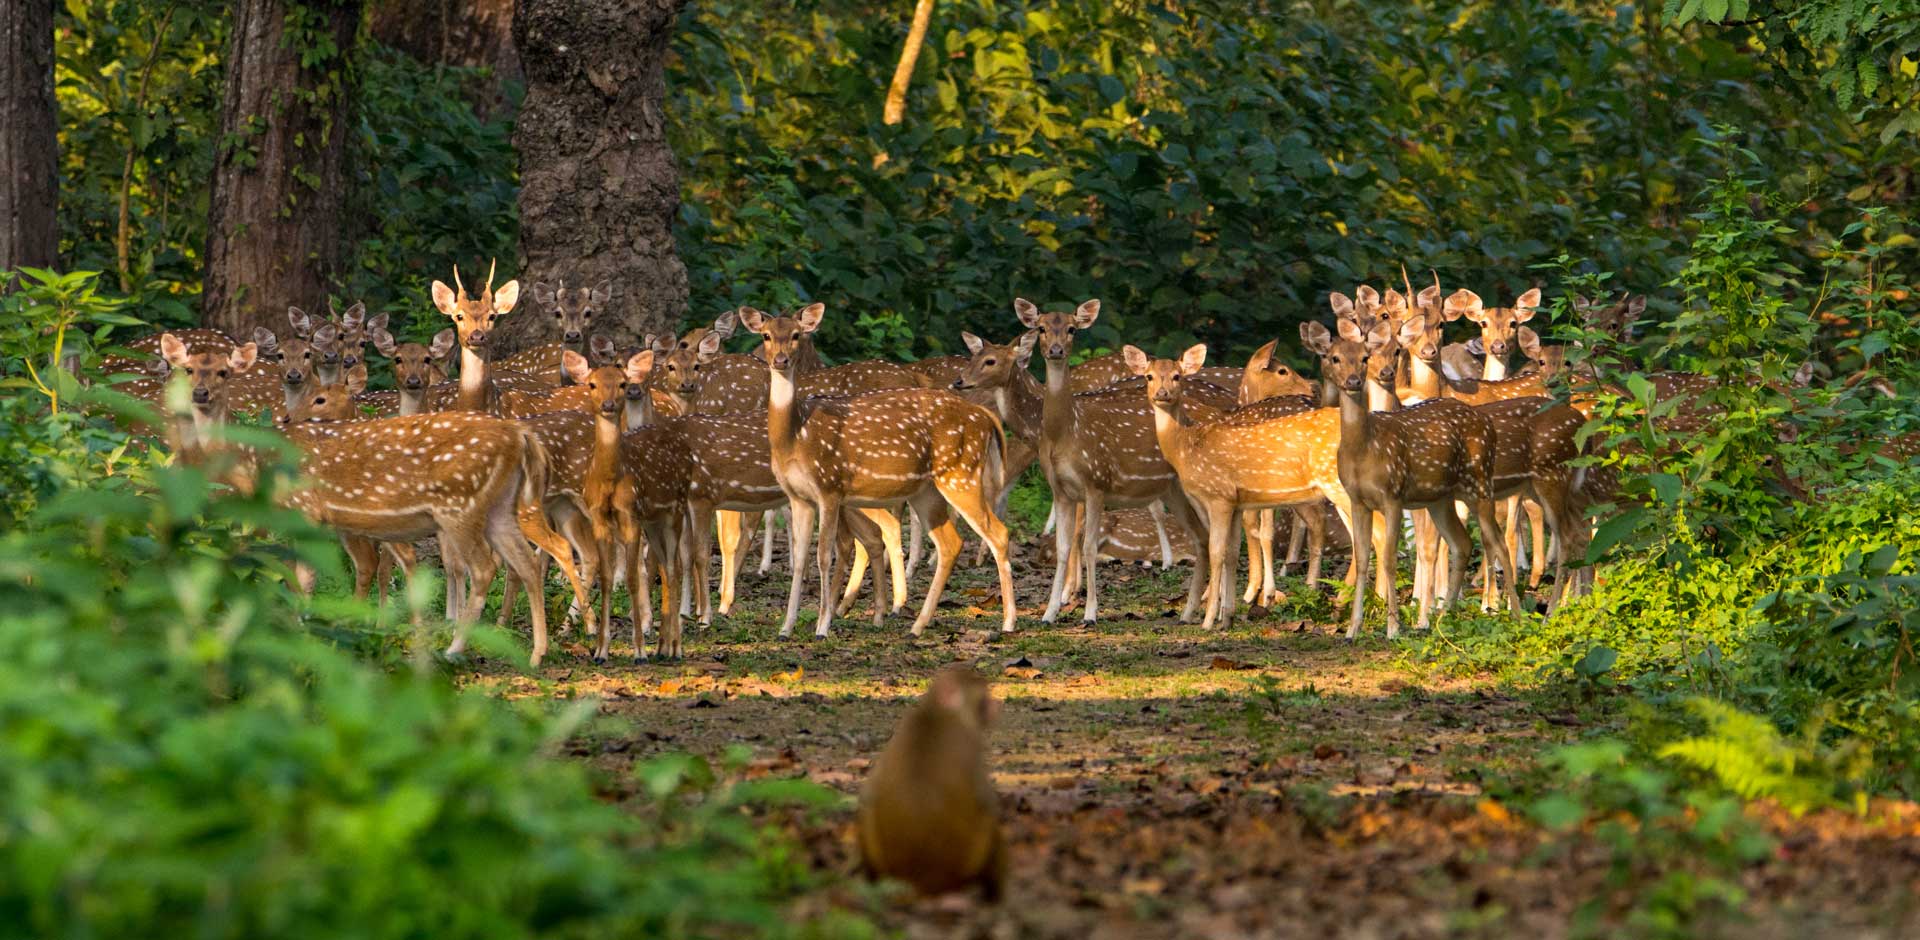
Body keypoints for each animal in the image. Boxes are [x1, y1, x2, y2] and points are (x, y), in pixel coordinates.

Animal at [1121, 345, 1351, 633]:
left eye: (1177, 376)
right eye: (1149, 376)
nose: (1162, 393)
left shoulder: (1222, 498)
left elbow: (1222, 547)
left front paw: (1216, 612)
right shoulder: (1236, 501)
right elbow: (1234, 548)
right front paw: (1228, 611)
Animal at [1313, 320, 1520, 636]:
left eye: (1364, 357)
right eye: (1334, 357)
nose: (1353, 380)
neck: (1364, 449)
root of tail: (1487, 423)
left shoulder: (1393, 495)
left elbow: (1388, 558)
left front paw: (1393, 628)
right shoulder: (1358, 500)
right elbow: (1362, 559)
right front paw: (1352, 630)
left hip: (1480, 483)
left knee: (1498, 542)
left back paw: (1514, 614)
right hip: (1441, 498)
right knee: (1462, 544)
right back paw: (1443, 617)